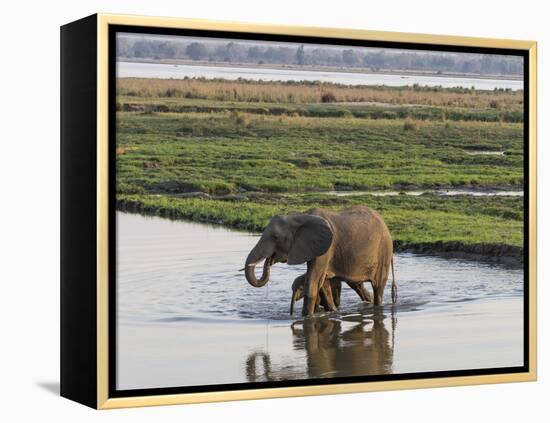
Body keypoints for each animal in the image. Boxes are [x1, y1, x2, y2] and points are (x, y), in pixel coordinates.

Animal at [245, 207, 396, 316]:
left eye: (276, 237)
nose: (269, 259)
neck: (299, 216)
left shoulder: (325, 250)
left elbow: (313, 283)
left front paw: (307, 317)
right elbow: (322, 284)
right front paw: (332, 312)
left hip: (384, 251)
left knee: (378, 287)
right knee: (357, 284)